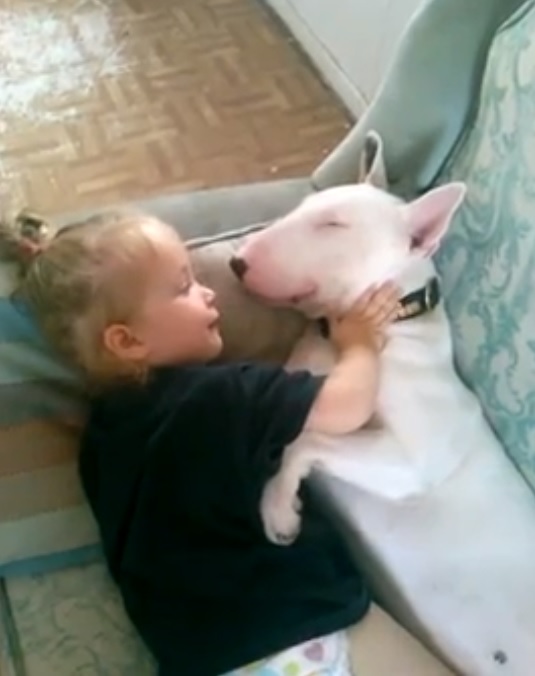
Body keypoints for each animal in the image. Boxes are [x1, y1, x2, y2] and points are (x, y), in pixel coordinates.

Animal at [231, 131, 535, 676]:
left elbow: (305, 440)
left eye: (333, 224)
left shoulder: (411, 461)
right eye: (305, 208)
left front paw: (279, 509)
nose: (237, 261)